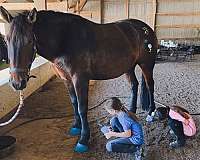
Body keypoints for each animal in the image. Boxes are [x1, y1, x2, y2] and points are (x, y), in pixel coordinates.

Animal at [0, 6, 157, 152]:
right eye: (6, 40)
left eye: (29, 41)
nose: (17, 82)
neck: (65, 39)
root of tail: (145, 28)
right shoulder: (67, 80)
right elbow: (74, 103)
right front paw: (76, 127)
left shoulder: (80, 79)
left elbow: (82, 107)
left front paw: (83, 139)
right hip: (128, 67)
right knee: (134, 85)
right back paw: (131, 111)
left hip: (146, 65)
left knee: (150, 86)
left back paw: (151, 113)